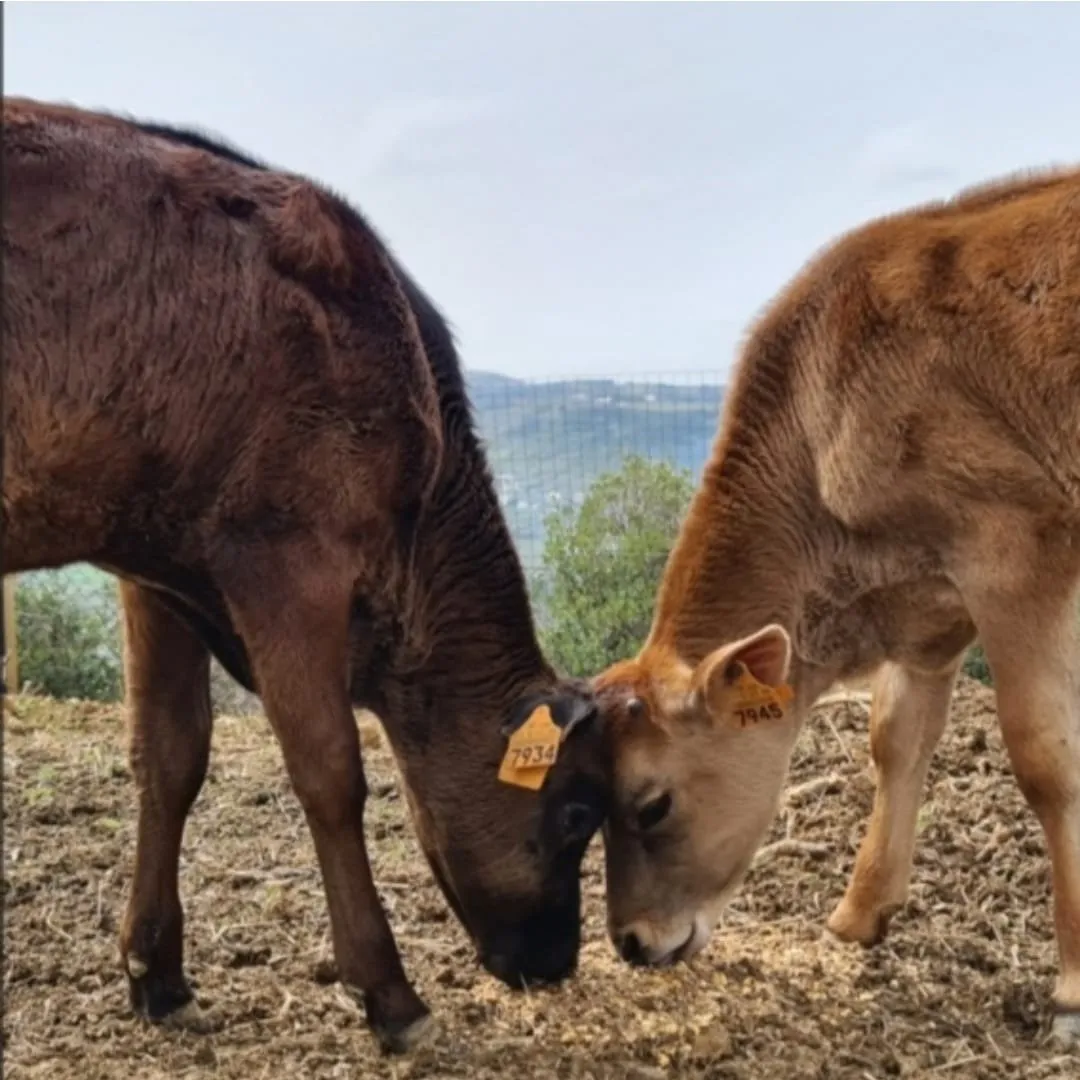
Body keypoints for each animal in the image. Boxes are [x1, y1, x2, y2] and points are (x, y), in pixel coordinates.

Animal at [1, 98, 611, 1054]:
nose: (557, 960)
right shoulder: (288, 554)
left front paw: (157, 973)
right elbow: (331, 773)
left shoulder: (159, 567)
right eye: (578, 814)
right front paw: (390, 994)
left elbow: (169, 754)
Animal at [592, 166, 1080, 1046]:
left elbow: (1044, 757)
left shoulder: (1019, 550)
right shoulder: (928, 605)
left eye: (652, 804)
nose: (631, 942)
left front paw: (1071, 989)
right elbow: (894, 738)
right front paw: (860, 913)